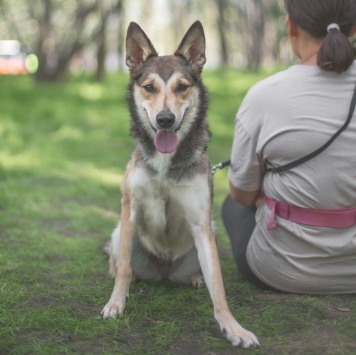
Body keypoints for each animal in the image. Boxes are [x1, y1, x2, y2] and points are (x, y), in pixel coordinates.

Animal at [100, 20, 258, 350]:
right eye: (149, 87)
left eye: (182, 87)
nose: (165, 120)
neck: (166, 164)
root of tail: (164, 271)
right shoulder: (130, 210)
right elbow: (124, 270)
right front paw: (115, 304)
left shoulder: (201, 222)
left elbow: (219, 288)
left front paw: (233, 328)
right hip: (121, 232)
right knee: (121, 264)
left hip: (211, 231)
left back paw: (197, 277)